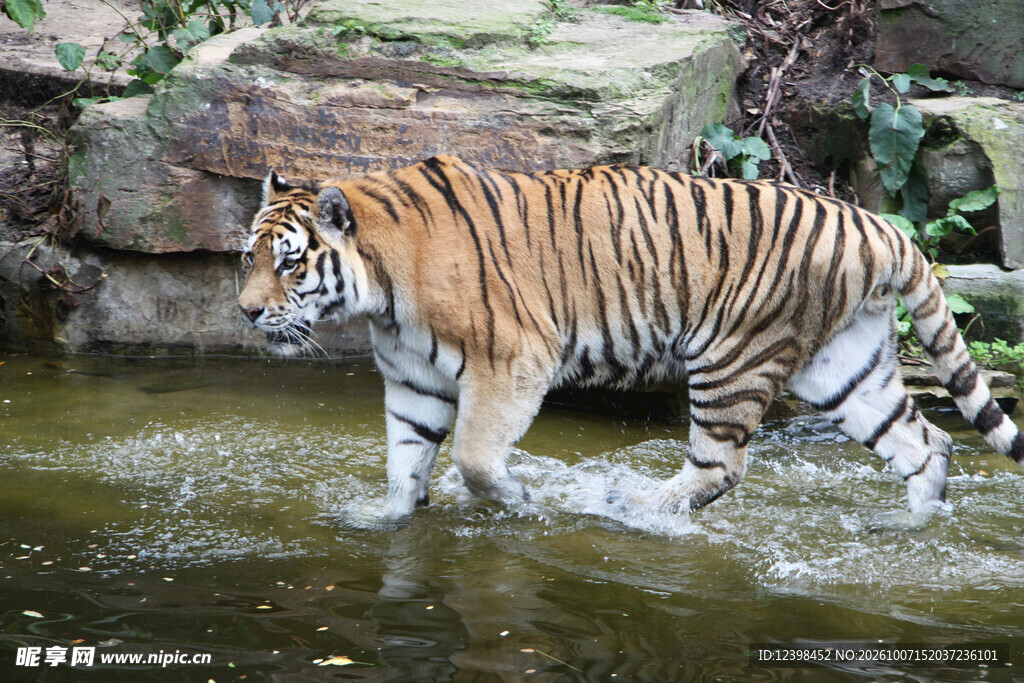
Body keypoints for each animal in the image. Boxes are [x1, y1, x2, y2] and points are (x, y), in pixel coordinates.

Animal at [237, 154, 1024, 520]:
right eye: (249, 258)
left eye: (292, 262)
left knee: (720, 467)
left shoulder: (512, 361)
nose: (245, 312)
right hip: (843, 367)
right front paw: (387, 520)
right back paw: (914, 527)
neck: (380, 296)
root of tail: (877, 224)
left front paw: (518, 499)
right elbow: (405, 463)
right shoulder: (413, 381)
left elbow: (474, 456)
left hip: (732, 357)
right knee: (928, 441)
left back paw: (630, 507)